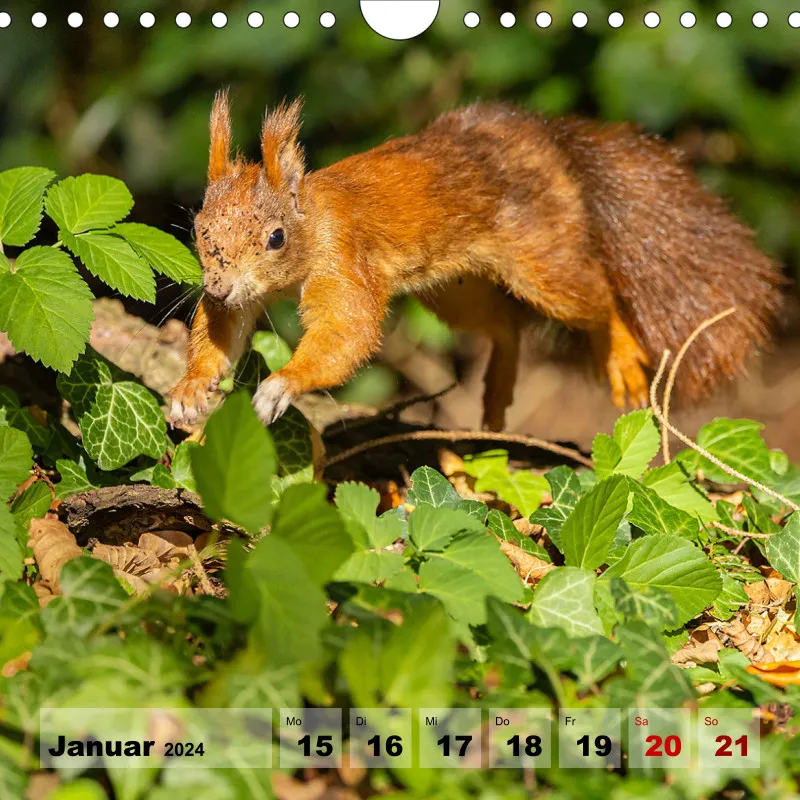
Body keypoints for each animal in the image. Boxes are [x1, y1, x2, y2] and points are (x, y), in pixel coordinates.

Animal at [169, 91, 783, 432]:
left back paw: (621, 355)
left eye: (275, 238)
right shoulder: (240, 298)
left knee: (598, 301)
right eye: (199, 230)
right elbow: (223, 333)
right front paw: (190, 389)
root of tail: (548, 142)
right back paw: (495, 393)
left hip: (543, 259)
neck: (313, 221)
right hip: (453, 290)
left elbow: (347, 332)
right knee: (505, 328)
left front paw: (284, 383)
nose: (217, 287)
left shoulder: (344, 261)